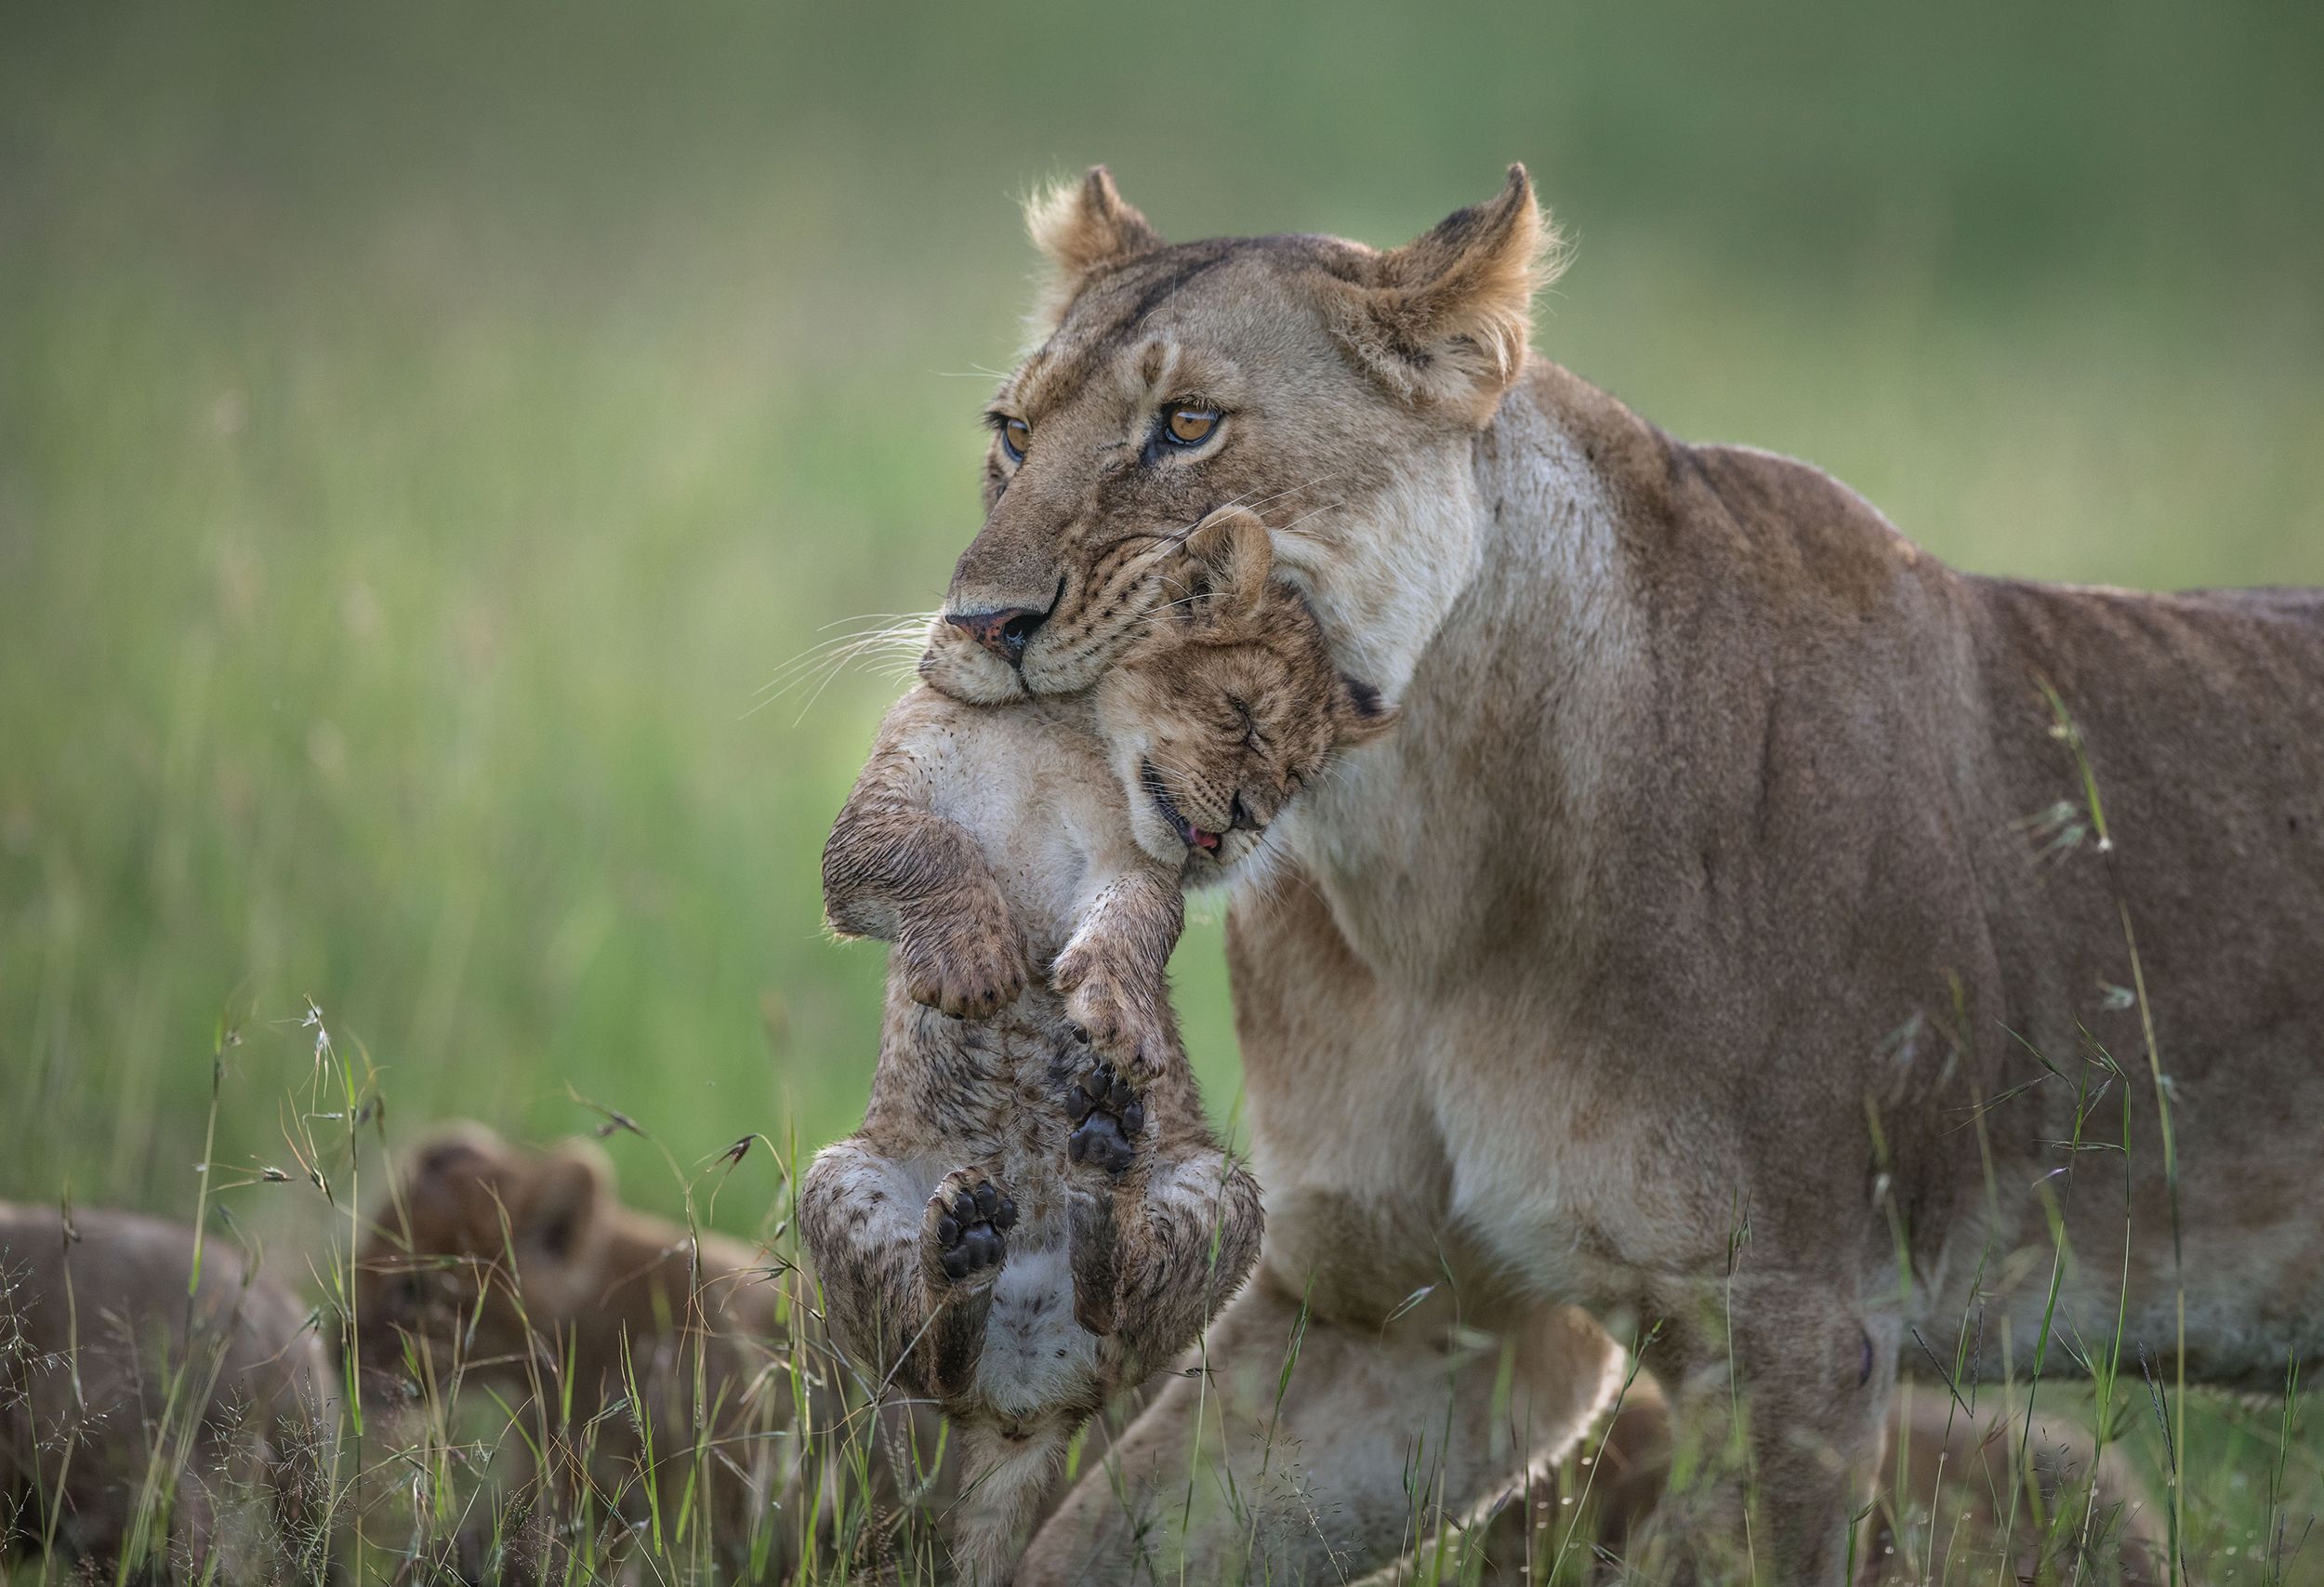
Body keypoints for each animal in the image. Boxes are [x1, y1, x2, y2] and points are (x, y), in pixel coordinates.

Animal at [806, 510, 1389, 1582]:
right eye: (1242, 717)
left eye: (1295, 778)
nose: (1243, 824)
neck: (1045, 726)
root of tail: (1025, 1409)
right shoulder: (867, 825)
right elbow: (926, 849)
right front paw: (974, 962)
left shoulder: (1127, 857)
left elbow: (1138, 918)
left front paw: (1119, 1016)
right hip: (841, 1181)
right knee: (927, 1356)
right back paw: (965, 1251)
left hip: (1218, 1191)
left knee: (1118, 1314)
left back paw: (1096, 1177)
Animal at [895, 166, 2324, 1584]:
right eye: (1012, 433)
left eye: (1188, 424)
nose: (976, 623)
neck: (1415, 876)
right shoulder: (1402, 1314)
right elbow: (1108, 1534)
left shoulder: (1795, 1331)